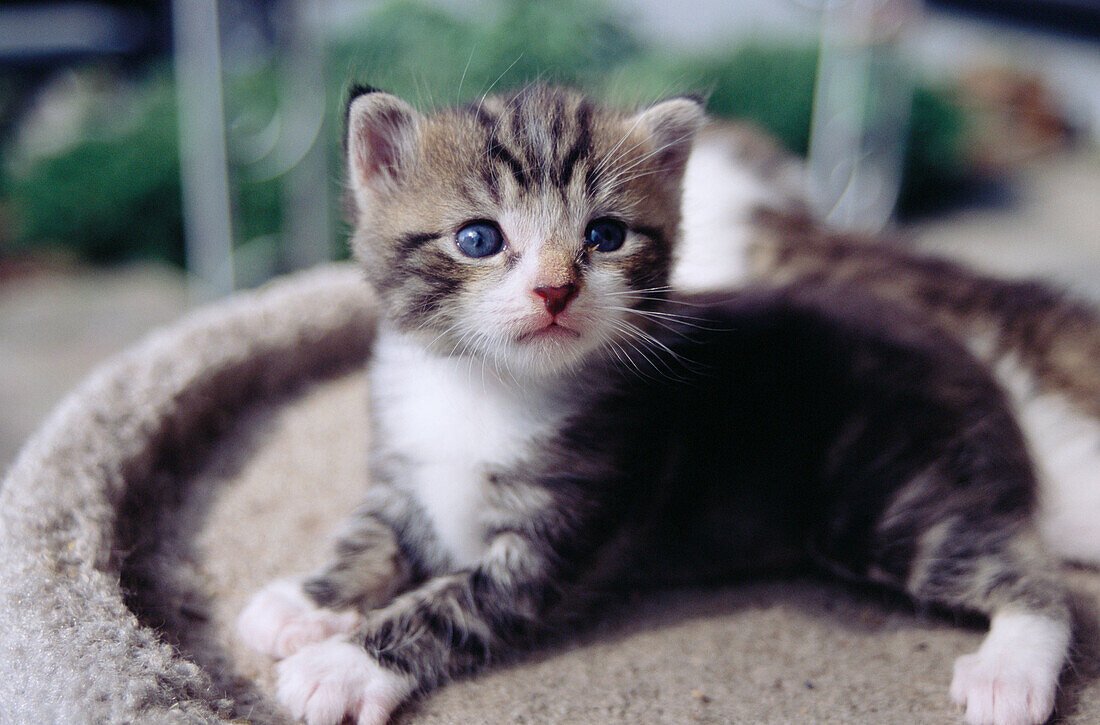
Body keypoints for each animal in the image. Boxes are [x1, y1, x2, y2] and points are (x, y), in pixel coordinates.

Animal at [238, 86, 1064, 725]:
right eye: (478, 238)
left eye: (605, 235)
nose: (555, 289)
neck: (484, 382)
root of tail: (973, 364)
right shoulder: (401, 468)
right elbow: (369, 536)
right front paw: (303, 601)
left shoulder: (560, 525)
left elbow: (451, 604)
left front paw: (342, 664)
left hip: (883, 495)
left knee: (1042, 582)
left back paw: (1012, 670)